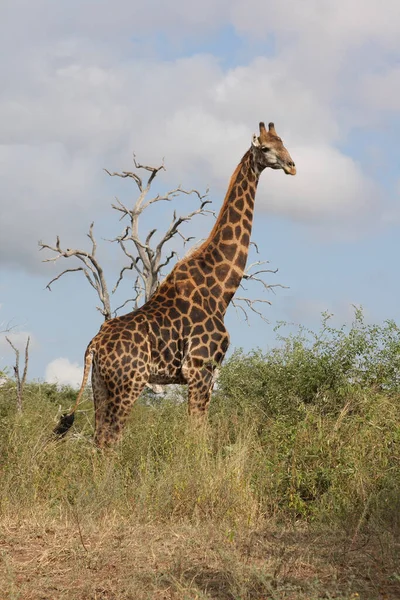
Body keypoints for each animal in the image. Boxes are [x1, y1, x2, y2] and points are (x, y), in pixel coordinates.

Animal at [54, 120, 296, 446]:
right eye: (267, 148)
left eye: (285, 143)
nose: (292, 166)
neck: (220, 291)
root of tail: (94, 344)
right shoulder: (200, 369)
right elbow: (197, 434)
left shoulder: (204, 374)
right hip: (129, 384)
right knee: (110, 440)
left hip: (100, 384)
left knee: (98, 438)